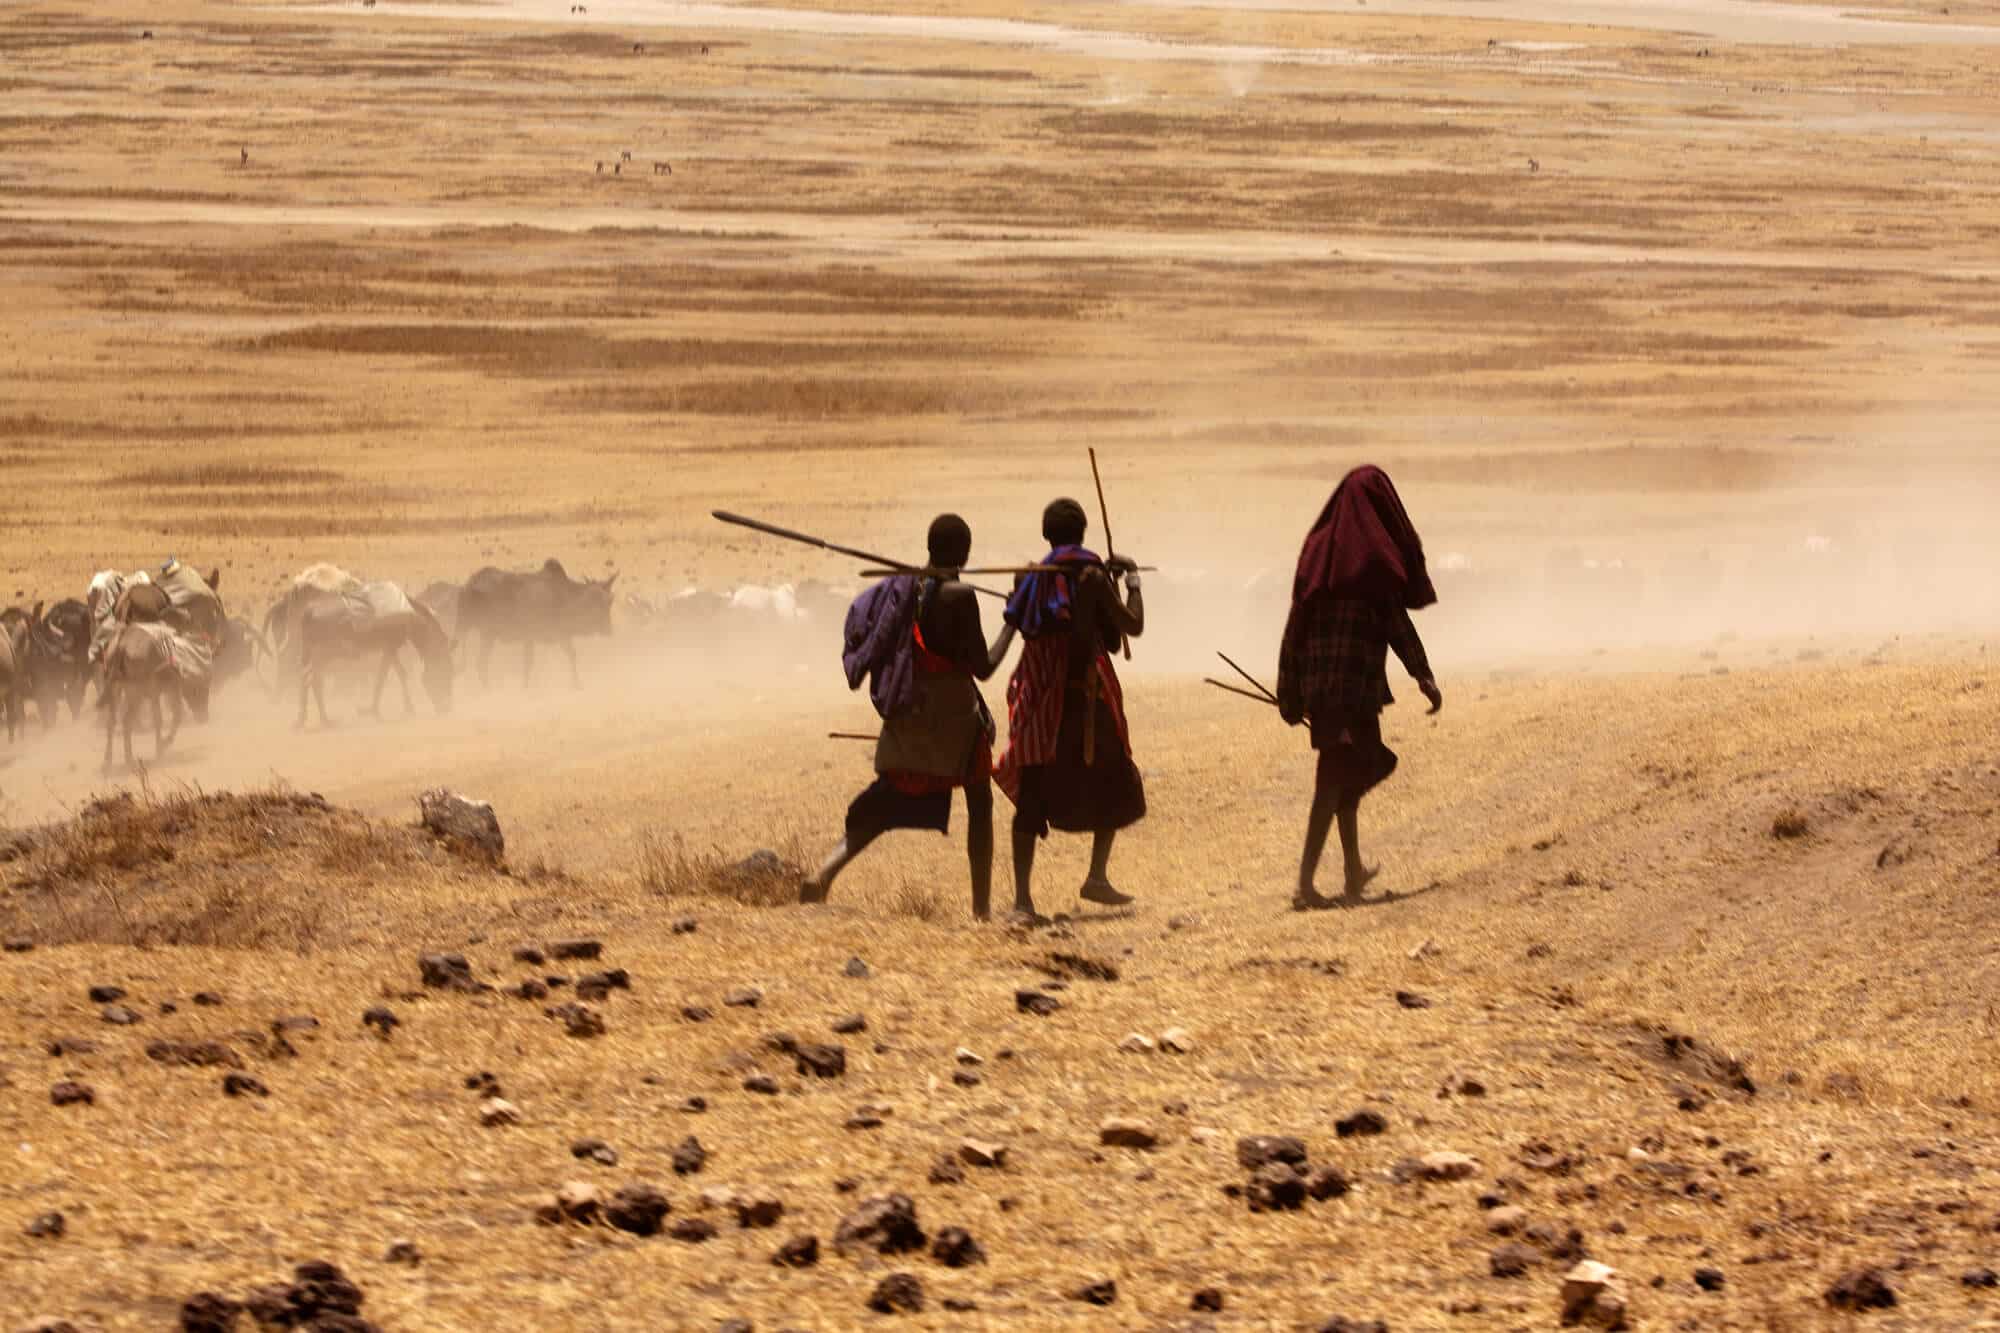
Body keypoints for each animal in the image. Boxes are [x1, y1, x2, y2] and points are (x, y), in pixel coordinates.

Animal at [458, 556, 612, 684]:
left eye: (610, 601)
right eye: (598, 602)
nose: (608, 630)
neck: (564, 597)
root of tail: (470, 583)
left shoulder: (559, 635)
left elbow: (570, 655)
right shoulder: (535, 635)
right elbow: (530, 664)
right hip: (487, 633)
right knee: (481, 664)